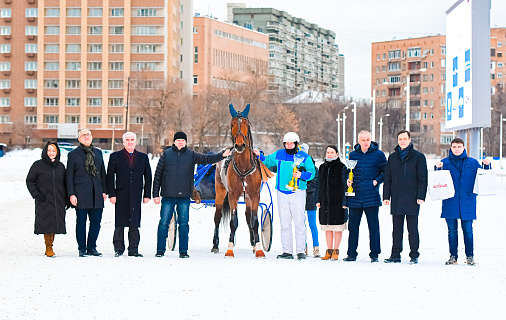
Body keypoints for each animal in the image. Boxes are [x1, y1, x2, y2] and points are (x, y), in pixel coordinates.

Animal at [211, 104, 264, 258]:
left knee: (248, 216)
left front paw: (258, 248)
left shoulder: (254, 194)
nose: (240, 145)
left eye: (246, 124)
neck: (243, 166)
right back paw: (215, 245)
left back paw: (253, 243)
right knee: (217, 216)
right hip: (220, 191)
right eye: (232, 124)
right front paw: (229, 249)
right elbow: (233, 222)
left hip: (247, 197)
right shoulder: (233, 195)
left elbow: (254, 221)